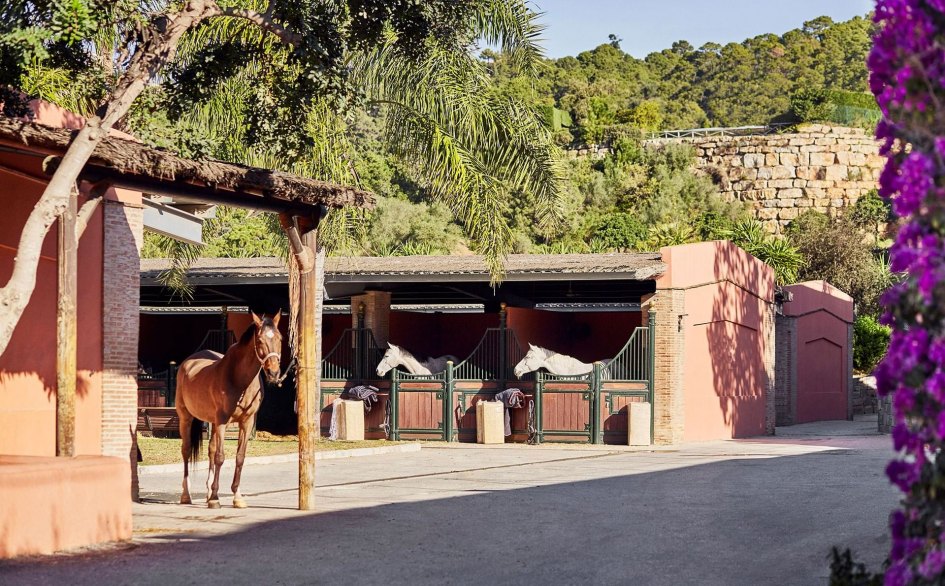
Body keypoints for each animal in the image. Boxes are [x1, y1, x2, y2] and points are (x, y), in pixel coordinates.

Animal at [175, 310, 282, 506]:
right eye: (260, 340)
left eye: (280, 338)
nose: (273, 372)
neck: (239, 380)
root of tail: (187, 363)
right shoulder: (223, 421)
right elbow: (220, 457)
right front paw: (215, 498)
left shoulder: (246, 422)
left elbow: (239, 457)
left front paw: (237, 497)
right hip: (185, 417)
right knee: (186, 451)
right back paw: (187, 495)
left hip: (212, 421)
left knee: (210, 450)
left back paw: (207, 492)